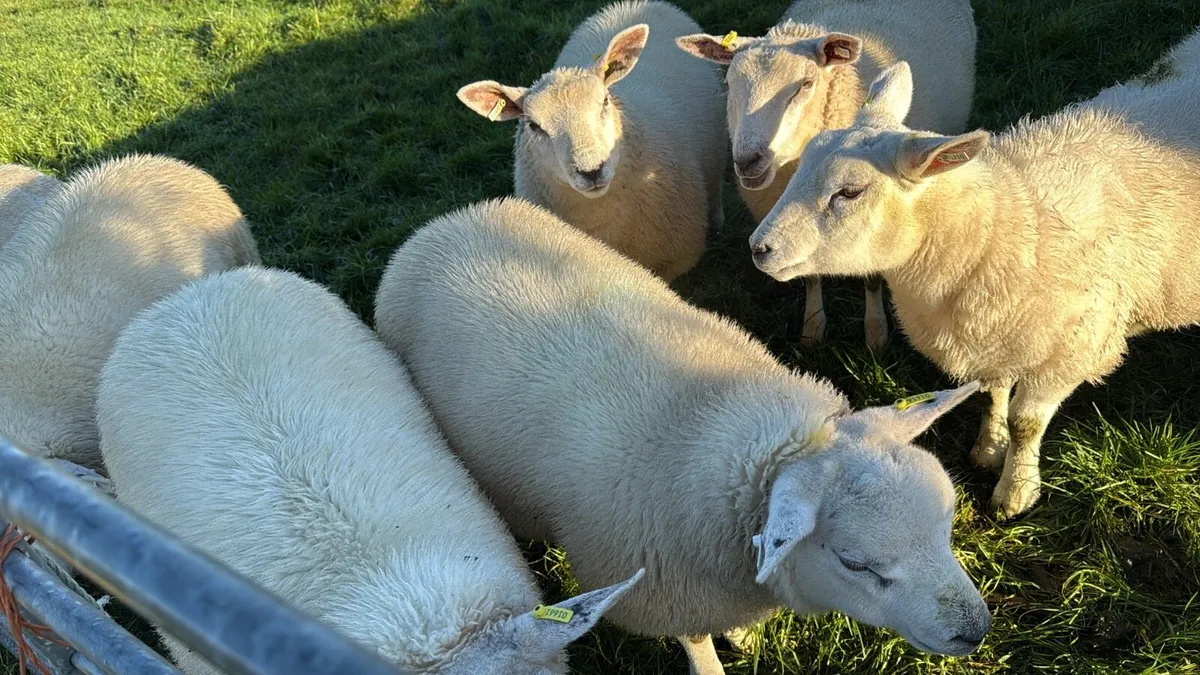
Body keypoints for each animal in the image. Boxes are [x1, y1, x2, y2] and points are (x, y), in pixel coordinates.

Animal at [374, 198, 990, 675]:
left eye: (947, 526)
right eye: (856, 565)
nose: (976, 632)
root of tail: (444, 223)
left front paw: (741, 635)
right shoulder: (663, 587)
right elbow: (697, 645)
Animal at [676, 0, 976, 350]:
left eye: (805, 84)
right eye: (729, 84)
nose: (747, 161)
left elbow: (871, 277)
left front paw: (876, 334)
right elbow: (809, 276)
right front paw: (813, 328)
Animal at [747, 61, 1200, 518]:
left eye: (850, 191)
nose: (758, 248)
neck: (1011, 224)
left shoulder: (1072, 349)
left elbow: (1025, 423)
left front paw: (1015, 491)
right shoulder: (990, 333)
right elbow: (991, 393)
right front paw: (989, 449)